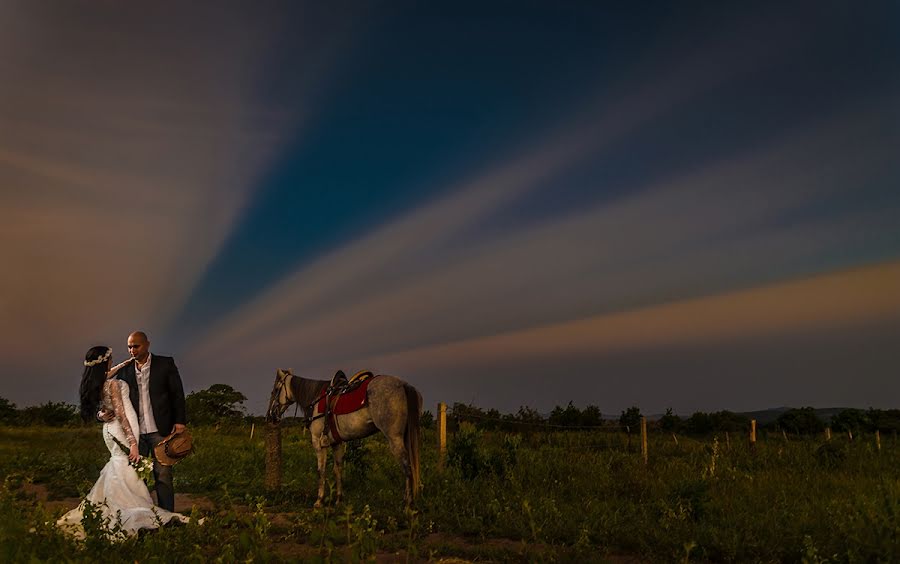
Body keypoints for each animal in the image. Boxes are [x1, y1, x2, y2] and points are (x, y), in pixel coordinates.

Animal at [266, 368, 424, 508]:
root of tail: (403, 385)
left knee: (407, 467)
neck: (315, 399)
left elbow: (321, 470)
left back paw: (408, 504)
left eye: (275, 390)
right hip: (405, 437)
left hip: (395, 439)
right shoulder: (337, 443)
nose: (270, 416)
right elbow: (338, 469)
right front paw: (338, 499)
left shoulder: (318, 443)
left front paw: (319, 500)